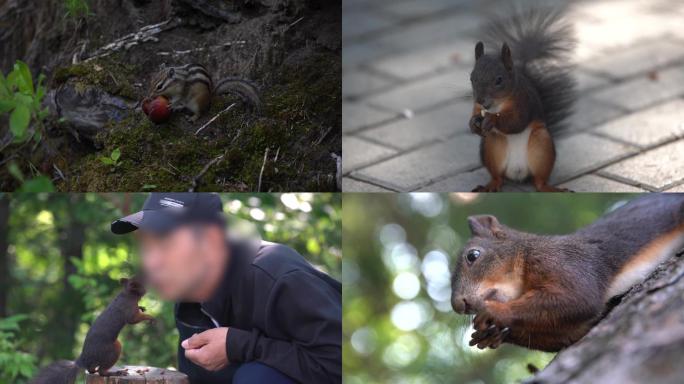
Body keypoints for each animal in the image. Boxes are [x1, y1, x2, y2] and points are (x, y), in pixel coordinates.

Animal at [448, 194, 684, 352]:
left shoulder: (564, 261)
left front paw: (494, 313)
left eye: (473, 255)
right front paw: (493, 334)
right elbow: (571, 334)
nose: (458, 305)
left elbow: (578, 297)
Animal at [468, 9, 576, 194]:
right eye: (471, 78)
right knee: (498, 177)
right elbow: (475, 114)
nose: (481, 99)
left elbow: (516, 122)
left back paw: (551, 188)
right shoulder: (477, 106)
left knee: (539, 182)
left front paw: (492, 119)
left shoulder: (524, 103)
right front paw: (472, 123)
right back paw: (490, 185)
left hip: (541, 146)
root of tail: (517, 173)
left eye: (499, 80)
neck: (497, 105)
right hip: (491, 145)